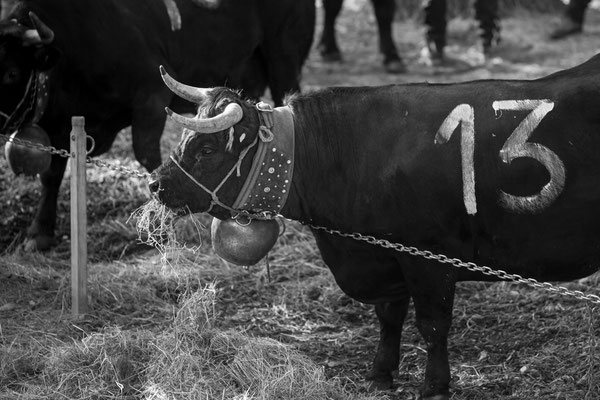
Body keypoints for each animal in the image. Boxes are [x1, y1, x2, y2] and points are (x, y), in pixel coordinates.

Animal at [0, 0, 316, 250]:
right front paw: (39, 232)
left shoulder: (150, 97)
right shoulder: (58, 123)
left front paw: (159, 225)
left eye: (12, 72)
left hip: (284, 58)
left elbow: (147, 155)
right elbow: (51, 175)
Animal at [149, 55, 600, 400]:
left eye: (208, 149)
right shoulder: (384, 255)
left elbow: (432, 324)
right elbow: (389, 317)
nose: (155, 183)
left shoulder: (428, 258)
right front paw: (381, 374)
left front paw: (434, 386)